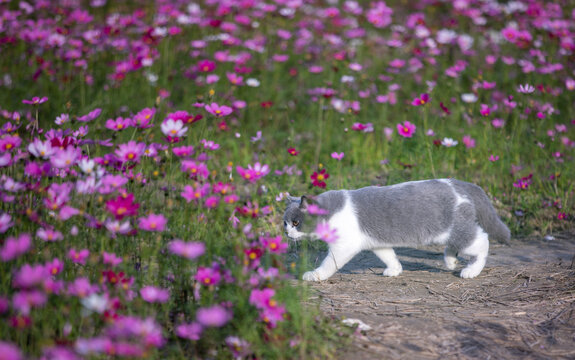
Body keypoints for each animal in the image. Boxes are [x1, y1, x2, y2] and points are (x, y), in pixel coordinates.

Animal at [282, 179, 508, 282]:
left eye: (296, 222)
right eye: (285, 223)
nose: (287, 233)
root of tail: (459, 183)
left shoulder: (343, 246)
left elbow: (330, 263)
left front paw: (314, 275)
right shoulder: (376, 242)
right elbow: (388, 255)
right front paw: (395, 269)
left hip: (458, 231)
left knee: (482, 242)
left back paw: (471, 270)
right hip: (449, 232)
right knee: (455, 245)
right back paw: (451, 261)